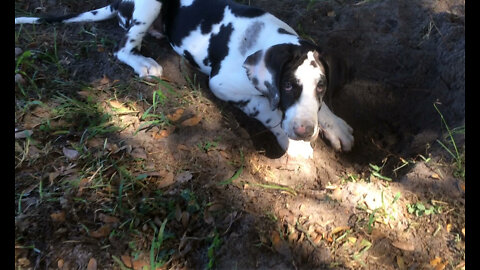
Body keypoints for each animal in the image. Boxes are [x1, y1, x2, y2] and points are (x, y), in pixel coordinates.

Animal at [15, 0, 352, 159]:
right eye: (288, 85)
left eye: (321, 86)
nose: (304, 131)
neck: (265, 38)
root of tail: (116, 3)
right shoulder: (222, 84)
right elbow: (267, 108)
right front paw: (293, 143)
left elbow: (319, 108)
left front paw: (336, 126)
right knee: (123, 48)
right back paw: (144, 62)